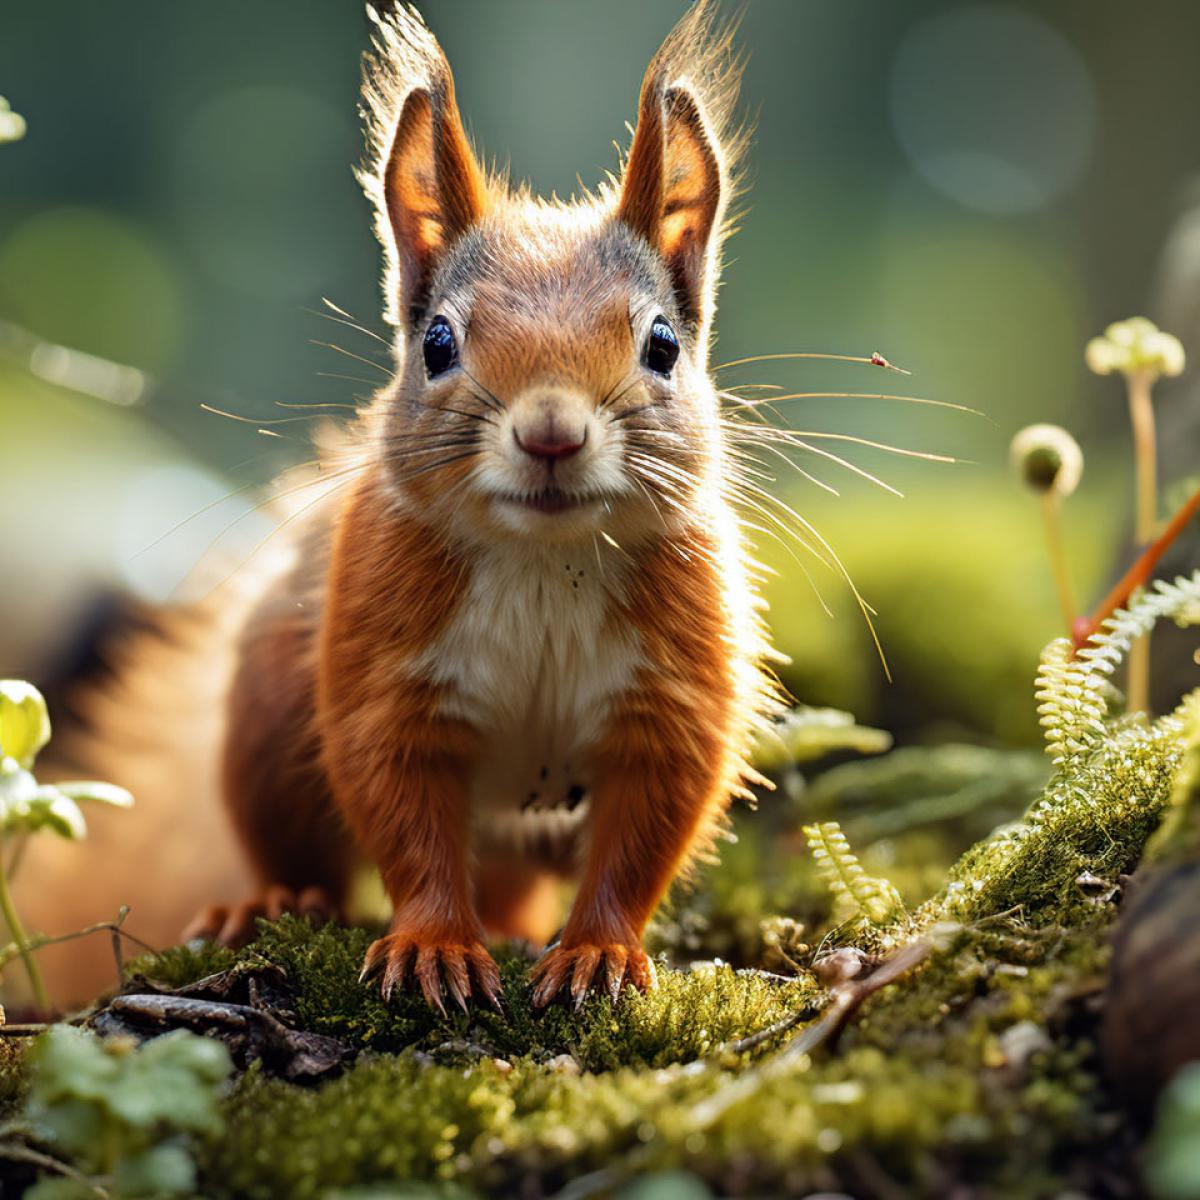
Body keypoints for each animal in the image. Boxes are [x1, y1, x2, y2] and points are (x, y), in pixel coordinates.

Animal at [35, 0, 777, 1012]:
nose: (551, 434)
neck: (545, 558)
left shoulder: (673, 692)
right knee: (295, 848)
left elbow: (645, 835)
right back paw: (269, 903)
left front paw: (599, 951)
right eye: (437, 343)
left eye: (662, 344)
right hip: (265, 727)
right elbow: (400, 808)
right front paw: (434, 945)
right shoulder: (382, 667)